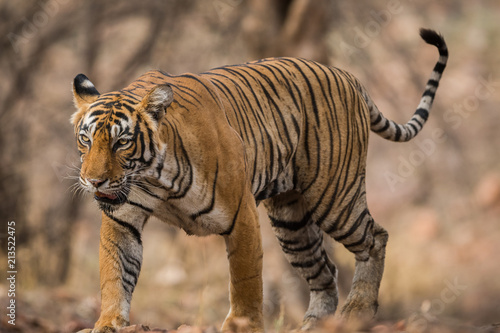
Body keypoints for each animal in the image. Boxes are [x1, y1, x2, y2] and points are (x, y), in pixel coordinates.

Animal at [71, 29, 450, 332]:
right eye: (85, 140)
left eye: (122, 142)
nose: (93, 181)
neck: (154, 177)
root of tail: (349, 76)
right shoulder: (122, 220)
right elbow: (115, 274)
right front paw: (108, 323)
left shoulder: (241, 215)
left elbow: (245, 279)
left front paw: (242, 325)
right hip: (291, 221)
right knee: (324, 270)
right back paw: (313, 326)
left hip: (334, 198)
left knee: (375, 238)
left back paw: (358, 311)